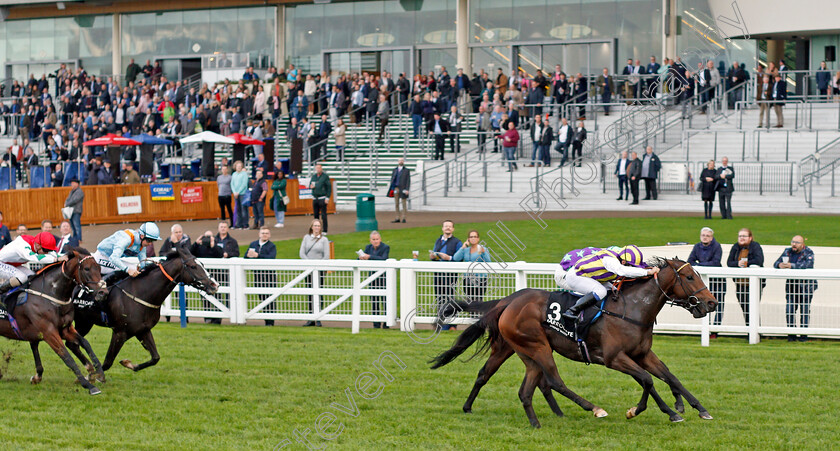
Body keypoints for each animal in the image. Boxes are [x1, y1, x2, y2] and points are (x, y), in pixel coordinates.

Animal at [434, 258, 716, 428]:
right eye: (689, 277)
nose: (711, 302)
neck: (632, 309)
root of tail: (509, 300)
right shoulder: (615, 358)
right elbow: (647, 380)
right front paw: (646, 410)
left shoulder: (642, 354)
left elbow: (669, 376)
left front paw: (695, 408)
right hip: (537, 347)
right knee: (553, 381)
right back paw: (593, 409)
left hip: (517, 349)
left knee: (501, 379)